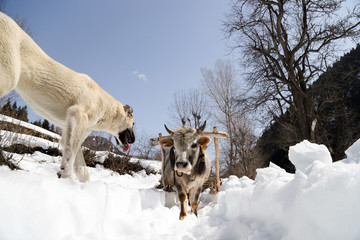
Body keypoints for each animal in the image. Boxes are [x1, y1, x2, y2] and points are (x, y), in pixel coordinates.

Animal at [0, 12, 135, 181]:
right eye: (133, 124)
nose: (134, 140)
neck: (106, 108)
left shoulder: (73, 127)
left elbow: (79, 160)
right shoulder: (77, 114)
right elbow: (72, 153)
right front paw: (67, 176)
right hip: (8, 76)